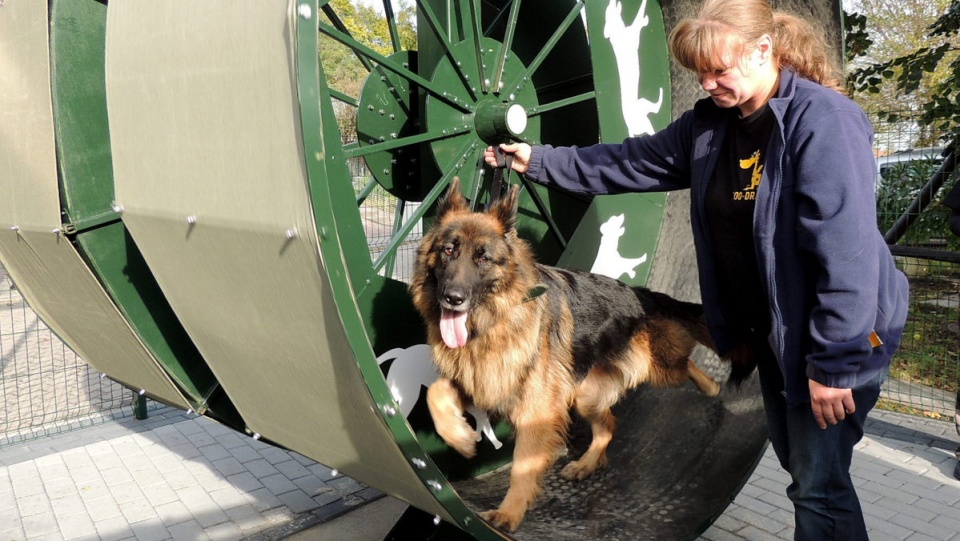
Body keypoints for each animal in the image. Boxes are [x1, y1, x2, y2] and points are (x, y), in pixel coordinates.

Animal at [408, 178, 724, 532]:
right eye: (448, 250)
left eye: (483, 258)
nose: (453, 298)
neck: (492, 323)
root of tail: (639, 294)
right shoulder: (481, 383)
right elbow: (436, 394)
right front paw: (460, 437)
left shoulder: (536, 411)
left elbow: (522, 467)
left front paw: (509, 513)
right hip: (585, 394)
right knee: (609, 424)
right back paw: (586, 464)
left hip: (655, 366)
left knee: (686, 362)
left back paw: (711, 385)